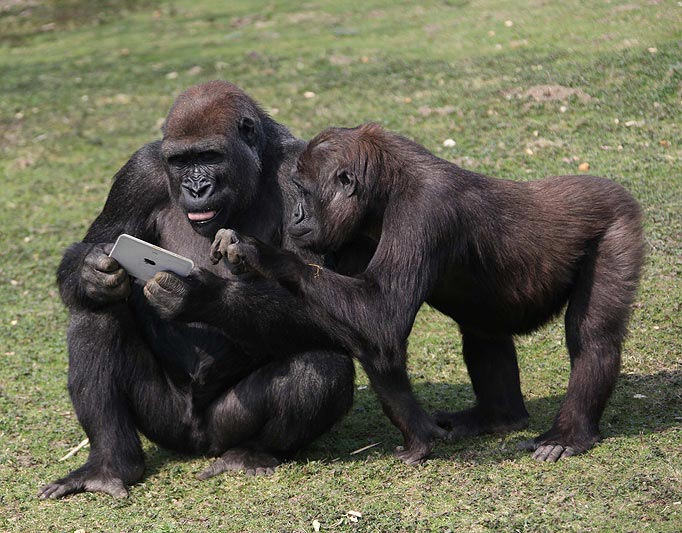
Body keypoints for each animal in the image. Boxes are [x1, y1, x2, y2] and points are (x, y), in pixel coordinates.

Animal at [39, 80, 354, 498]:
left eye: (209, 156)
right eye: (180, 161)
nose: (197, 186)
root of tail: (196, 441)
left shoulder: (301, 176)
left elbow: (322, 303)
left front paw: (201, 296)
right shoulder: (139, 174)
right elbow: (96, 248)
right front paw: (95, 270)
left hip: (224, 427)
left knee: (321, 365)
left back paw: (250, 454)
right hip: (164, 423)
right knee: (96, 312)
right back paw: (109, 463)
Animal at [211, 122, 644, 464]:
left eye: (302, 190)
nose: (297, 216)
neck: (386, 187)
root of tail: (614, 188)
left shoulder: (422, 209)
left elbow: (381, 316)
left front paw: (259, 254)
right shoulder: (351, 240)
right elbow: (370, 335)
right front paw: (417, 434)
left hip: (617, 221)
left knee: (591, 337)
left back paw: (571, 434)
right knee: (482, 331)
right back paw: (499, 417)